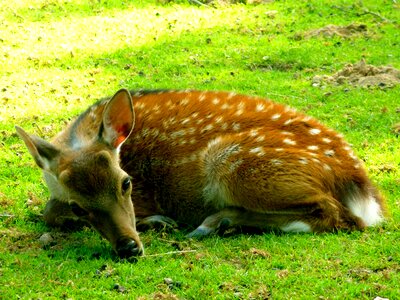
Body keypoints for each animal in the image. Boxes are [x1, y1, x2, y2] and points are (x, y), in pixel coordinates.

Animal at [14, 88, 384, 258]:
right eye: (79, 206)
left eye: (127, 183)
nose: (129, 247)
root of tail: (357, 178)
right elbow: (50, 212)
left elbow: (49, 213)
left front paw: (158, 221)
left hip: (233, 162)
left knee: (338, 216)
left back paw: (215, 222)